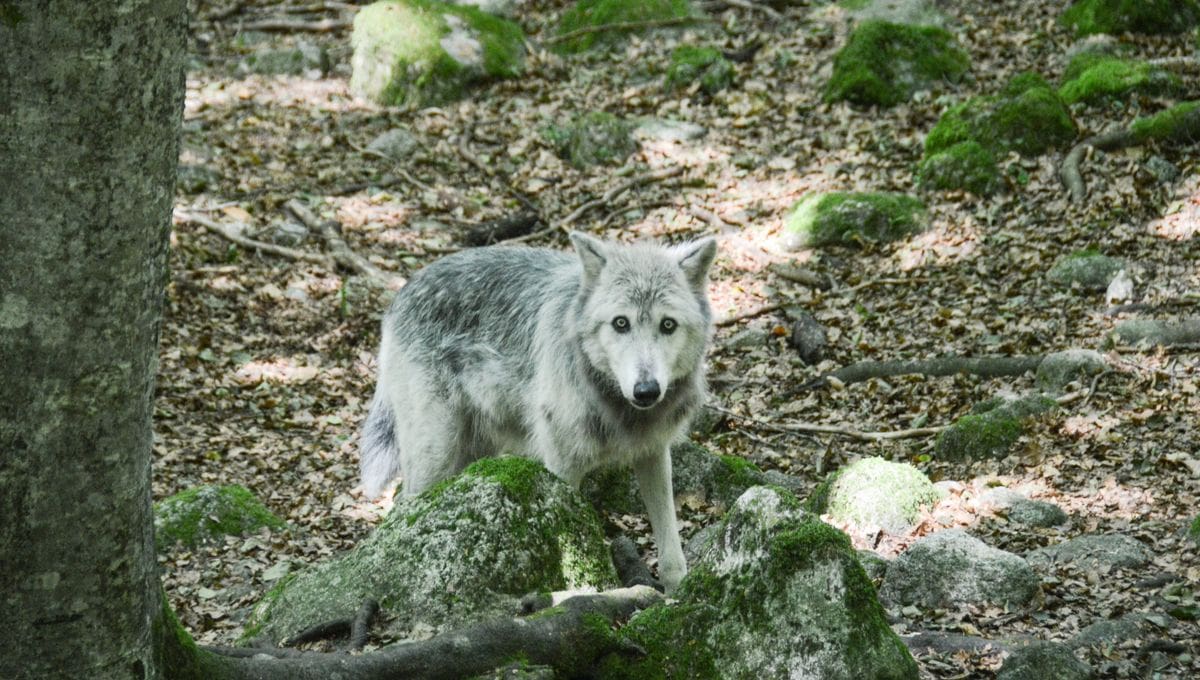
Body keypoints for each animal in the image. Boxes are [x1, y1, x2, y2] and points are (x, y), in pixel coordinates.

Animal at [358, 232, 717, 592]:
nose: (646, 390)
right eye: (620, 323)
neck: (612, 402)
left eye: (668, 325)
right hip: (435, 453)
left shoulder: (653, 451)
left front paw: (678, 593)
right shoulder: (560, 466)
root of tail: (404, 290)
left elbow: (670, 542)